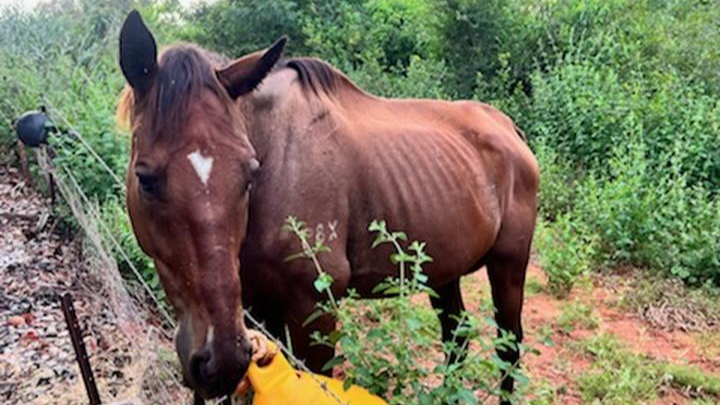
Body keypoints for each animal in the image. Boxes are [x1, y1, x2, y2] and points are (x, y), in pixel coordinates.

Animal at [117, 10, 539, 404]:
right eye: (146, 179)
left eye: (249, 174)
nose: (219, 362)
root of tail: (510, 130)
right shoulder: (258, 306)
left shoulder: (313, 309)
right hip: (441, 268)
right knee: (457, 336)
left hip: (509, 266)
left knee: (508, 346)